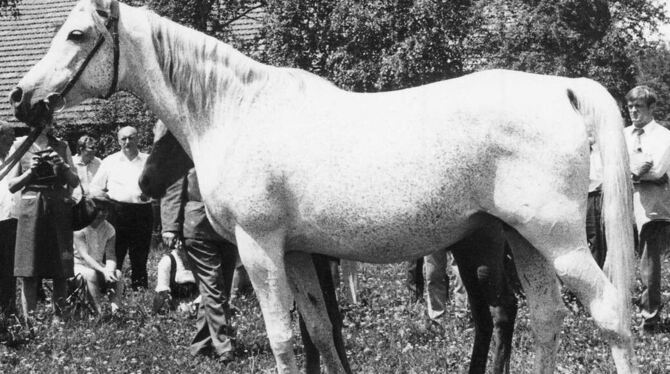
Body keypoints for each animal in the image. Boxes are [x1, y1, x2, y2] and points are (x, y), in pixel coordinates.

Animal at [11, 1, 640, 372]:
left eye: (77, 34)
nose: (21, 97)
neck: (236, 110)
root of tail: (559, 88)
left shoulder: (260, 249)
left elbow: (286, 339)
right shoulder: (296, 254)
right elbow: (320, 330)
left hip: (558, 240)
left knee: (608, 311)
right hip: (524, 241)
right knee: (545, 318)